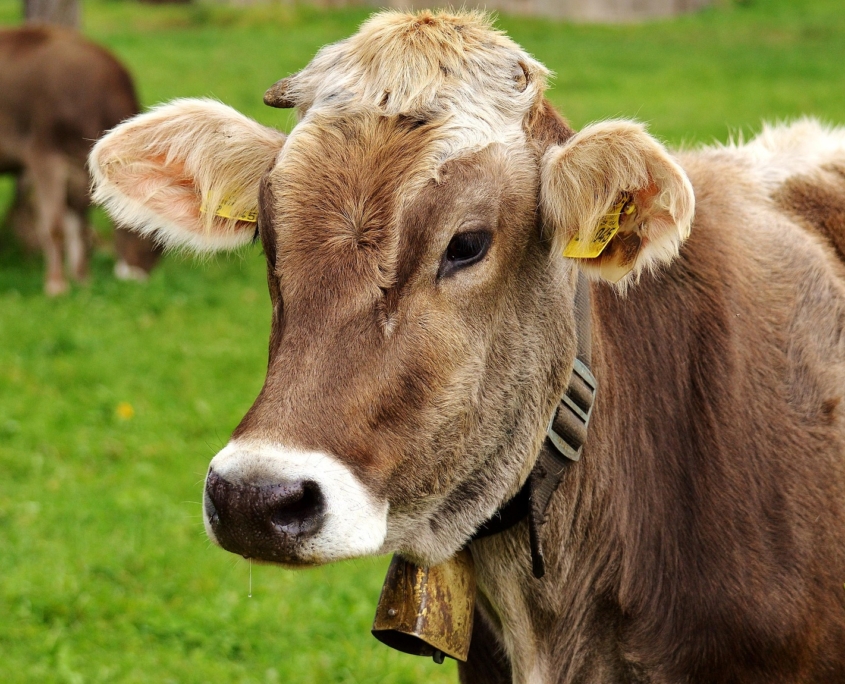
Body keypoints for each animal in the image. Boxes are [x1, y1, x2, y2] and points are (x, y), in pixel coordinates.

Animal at [0, 26, 161, 294]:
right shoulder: (43, 154)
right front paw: (56, 285)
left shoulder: (81, 171)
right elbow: (55, 226)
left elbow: (80, 228)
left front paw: (82, 280)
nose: (137, 278)